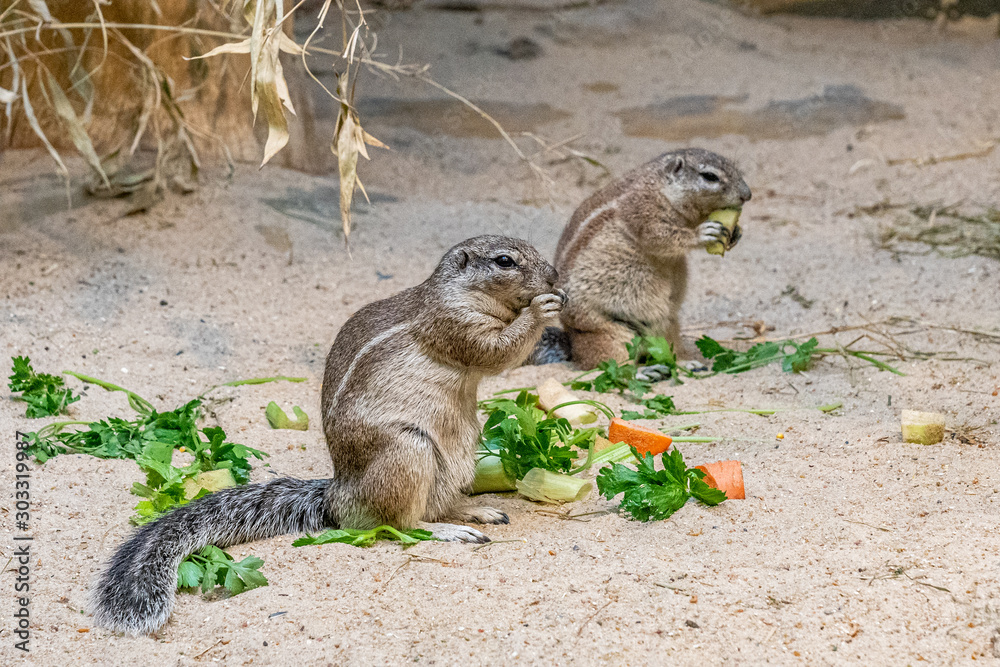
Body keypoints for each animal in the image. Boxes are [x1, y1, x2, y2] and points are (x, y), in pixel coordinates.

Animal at [90, 235, 564, 636]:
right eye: (505, 261)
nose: (556, 276)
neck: (460, 292)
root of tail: (338, 494)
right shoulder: (454, 325)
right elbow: (496, 351)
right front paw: (542, 309)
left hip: (460, 449)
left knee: (434, 505)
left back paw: (473, 511)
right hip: (408, 451)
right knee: (402, 524)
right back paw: (452, 532)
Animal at [529, 148, 751, 370]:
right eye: (710, 176)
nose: (747, 195)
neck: (658, 186)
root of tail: (571, 340)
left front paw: (736, 233)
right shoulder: (642, 209)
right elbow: (661, 236)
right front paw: (702, 233)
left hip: (668, 325)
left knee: (669, 350)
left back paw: (687, 363)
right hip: (611, 333)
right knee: (609, 364)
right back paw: (645, 371)